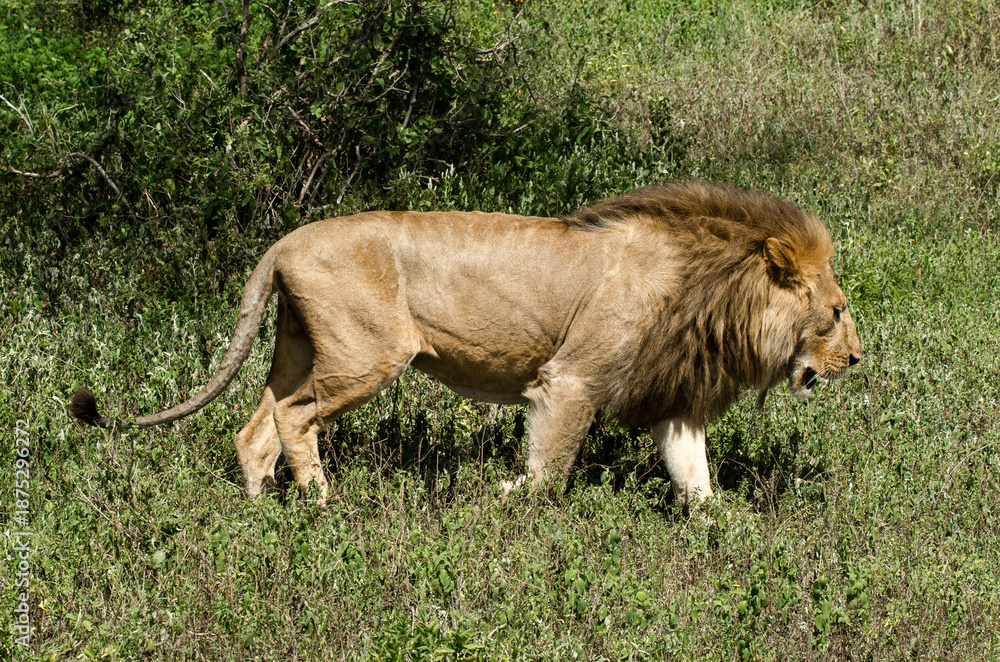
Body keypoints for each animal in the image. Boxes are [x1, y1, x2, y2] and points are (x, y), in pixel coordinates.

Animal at [70, 180, 861, 508]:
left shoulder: (674, 398)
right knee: (295, 419)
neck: (714, 293)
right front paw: (504, 495)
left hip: (297, 349)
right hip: (368, 355)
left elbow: (696, 480)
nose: (858, 360)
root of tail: (283, 242)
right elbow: (549, 469)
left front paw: (728, 535)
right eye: (836, 312)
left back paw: (262, 508)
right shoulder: (571, 380)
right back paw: (322, 502)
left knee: (256, 425)